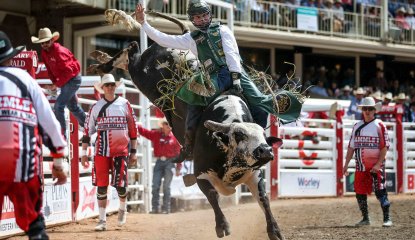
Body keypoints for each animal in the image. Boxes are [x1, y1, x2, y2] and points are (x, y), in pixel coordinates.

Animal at [88, 8, 286, 239]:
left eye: (263, 137)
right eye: (239, 135)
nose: (265, 151)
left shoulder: (254, 174)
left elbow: (264, 200)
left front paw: (274, 230)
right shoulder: (200, 173)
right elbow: (212, 196)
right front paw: (222, 226)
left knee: (130, 53)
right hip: (140, 74)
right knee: (130, 53)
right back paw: (100, 59)